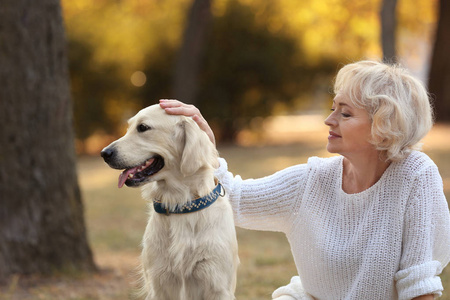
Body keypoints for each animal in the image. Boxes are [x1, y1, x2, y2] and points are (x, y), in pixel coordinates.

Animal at [99, 105, 239, 300]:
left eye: (143, 127)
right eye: (129, 127)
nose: (104, 153)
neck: (179, 204)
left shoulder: (217, 285)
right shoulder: (158, 284)